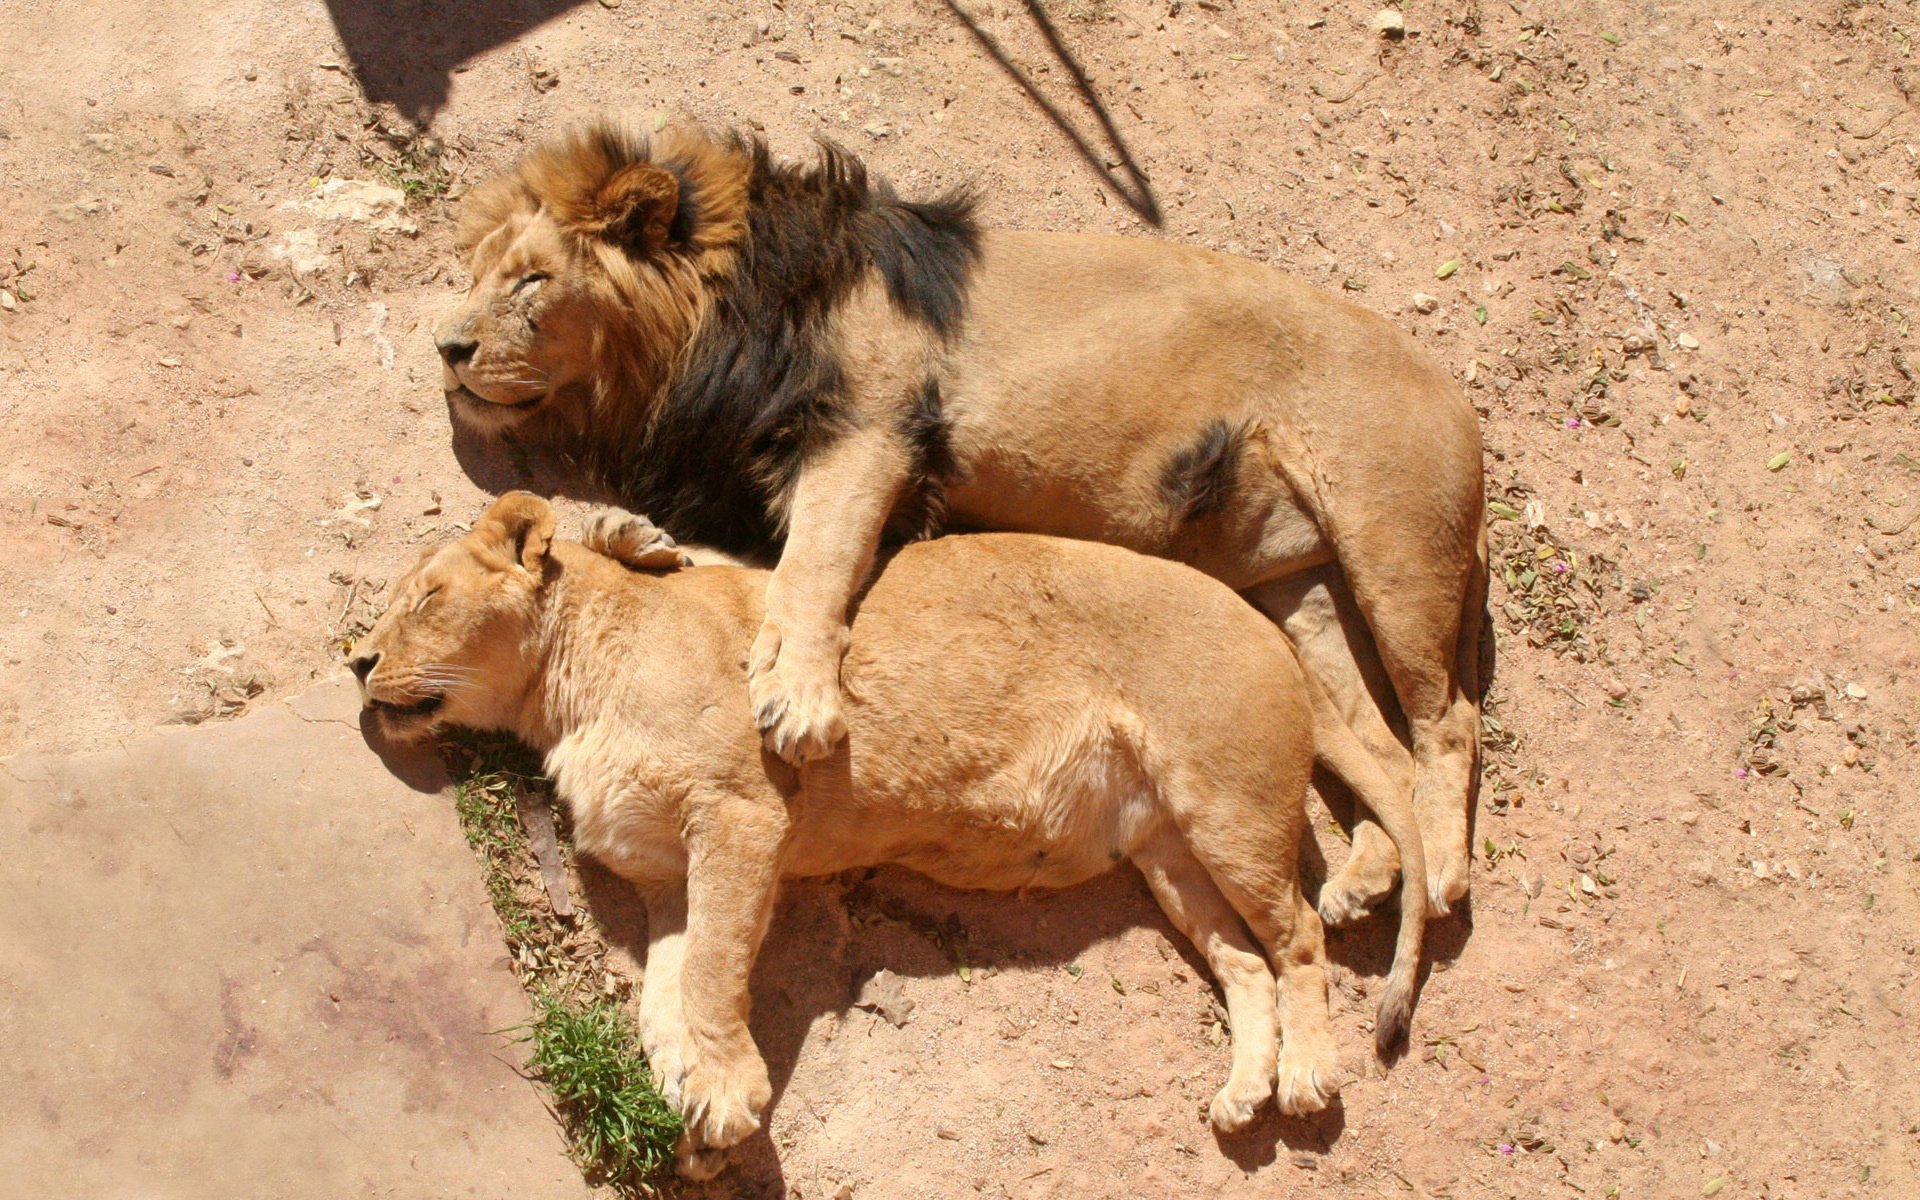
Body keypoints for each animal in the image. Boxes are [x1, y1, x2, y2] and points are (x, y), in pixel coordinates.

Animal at [351, 493, 1428, 1179]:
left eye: (424, 600)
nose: (357, 660)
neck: (563, 697)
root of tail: (1268, 624)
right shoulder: (664, 876)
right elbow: (662, 996)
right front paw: (689, 1109)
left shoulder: (742, 816)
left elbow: (711, 974)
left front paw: (728, 1097)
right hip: (1165, 854)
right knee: (1246, 961)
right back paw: (1245, 1089)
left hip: (1228, 807)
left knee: (1300, 935)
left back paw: (1305, 1076)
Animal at [433, 124, 1487, 921]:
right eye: (475, 274)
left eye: (531, 281)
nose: (445, 346)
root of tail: (1457, 392)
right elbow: (746, 568)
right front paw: (635, 539)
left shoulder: (873, 430)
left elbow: (813, 566)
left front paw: (800, 699)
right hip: (1293, 592)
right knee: (1378, 745)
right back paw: (1368, 877)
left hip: (1396, 551)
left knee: (1448, 722)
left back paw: (1438, 875)